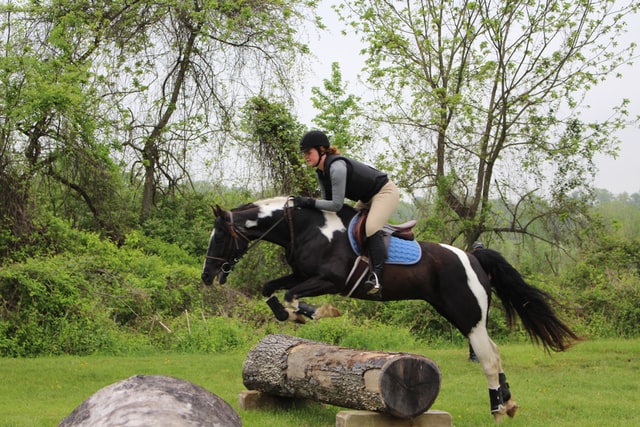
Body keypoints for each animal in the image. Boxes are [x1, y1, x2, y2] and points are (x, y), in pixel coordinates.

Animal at [201, 196, 580, 421]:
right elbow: (271, 289)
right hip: (462, 314)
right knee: (495, 351)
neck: (309, 228)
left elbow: (294, 295)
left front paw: (315, 313)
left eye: (220, 237)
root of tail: (473, 256)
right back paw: (508, 401)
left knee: (487, 356)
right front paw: (288, 314)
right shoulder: (302, 274)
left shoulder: (329, 280)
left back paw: (497, 409)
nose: (206, 276)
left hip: (467, 314)